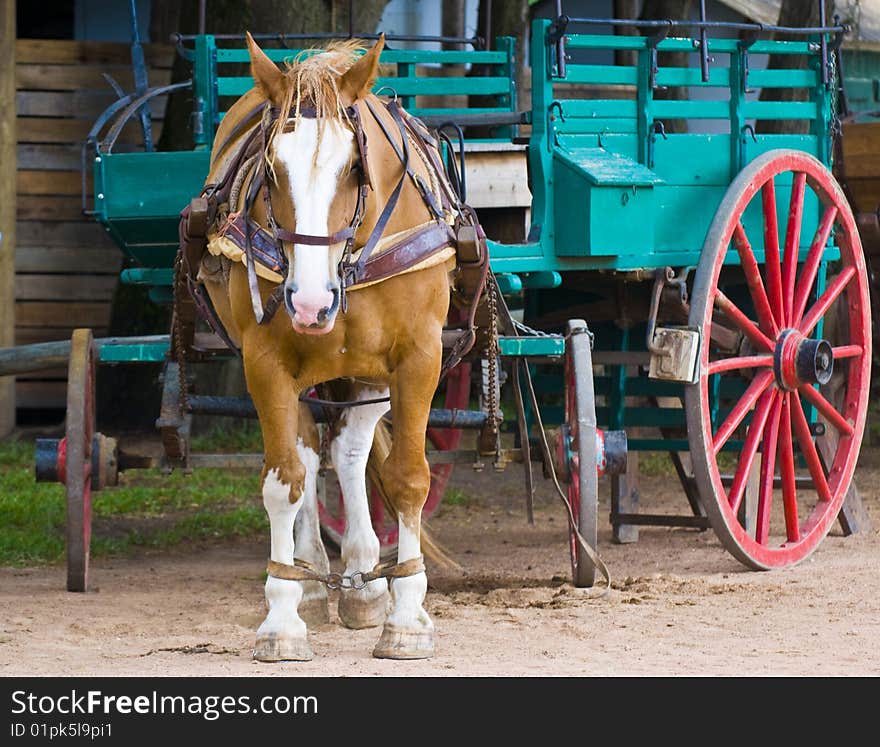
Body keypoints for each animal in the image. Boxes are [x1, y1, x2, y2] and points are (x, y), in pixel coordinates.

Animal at [183, 32, 482, 660]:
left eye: (353, 168)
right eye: (271, 168)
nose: (311, 302)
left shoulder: (418, 359)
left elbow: (407, 477)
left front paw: (407, 615)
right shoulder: (266, 363)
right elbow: (284, 482)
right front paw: (282, 617)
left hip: (366, 372)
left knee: (348, 452)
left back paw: (363, 582)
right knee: (309, 453)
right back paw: (316, 577)